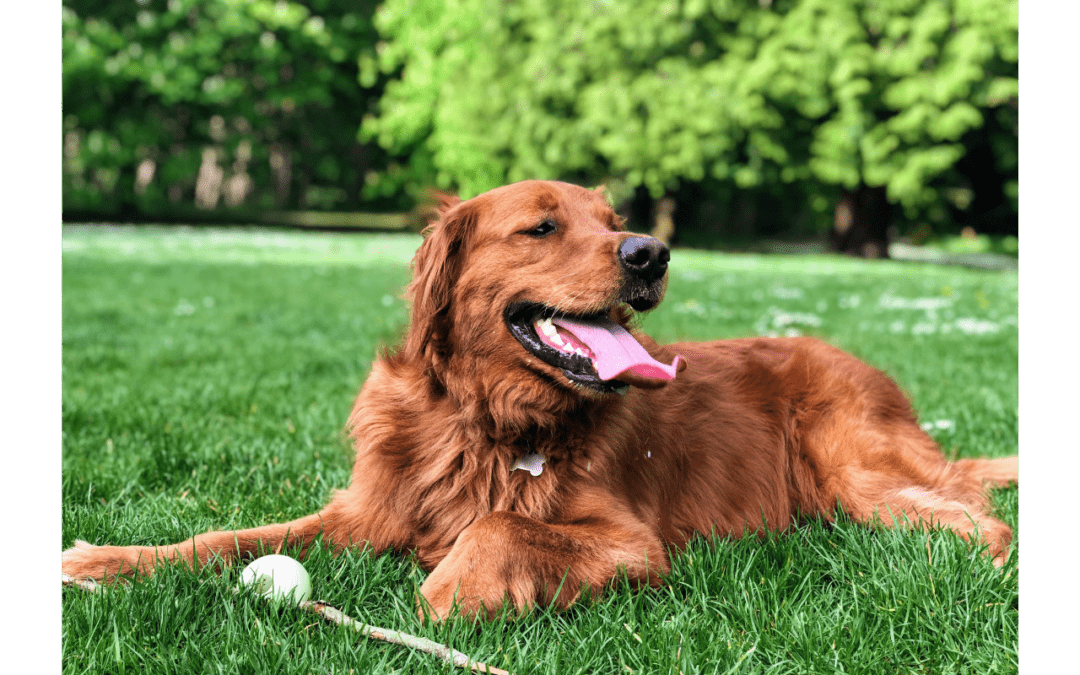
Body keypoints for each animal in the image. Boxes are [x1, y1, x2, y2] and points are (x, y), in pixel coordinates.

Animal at [61, 178, 1019, 617]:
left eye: (614, 220)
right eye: (543, 226)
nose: (651, 251)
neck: (483, 417)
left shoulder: (634, 544)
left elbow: (497, 523)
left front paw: (449, 589)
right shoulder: (364, 511)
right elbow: (226, 535)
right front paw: (109, 558)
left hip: (855, 470)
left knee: (982, 522)